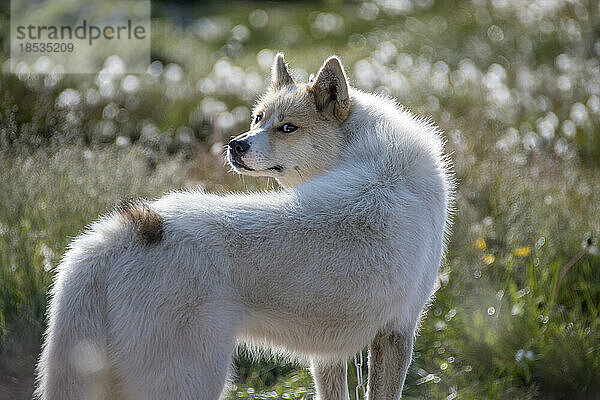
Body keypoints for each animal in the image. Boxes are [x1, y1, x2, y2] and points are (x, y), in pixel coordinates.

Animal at [34, 54, 454, 400]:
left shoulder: (331, 354)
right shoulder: (397, 333)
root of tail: (124, 231)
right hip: (193, 381)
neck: (364, 153)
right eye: (258, 119)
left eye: (287, 127)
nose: (235, 145)